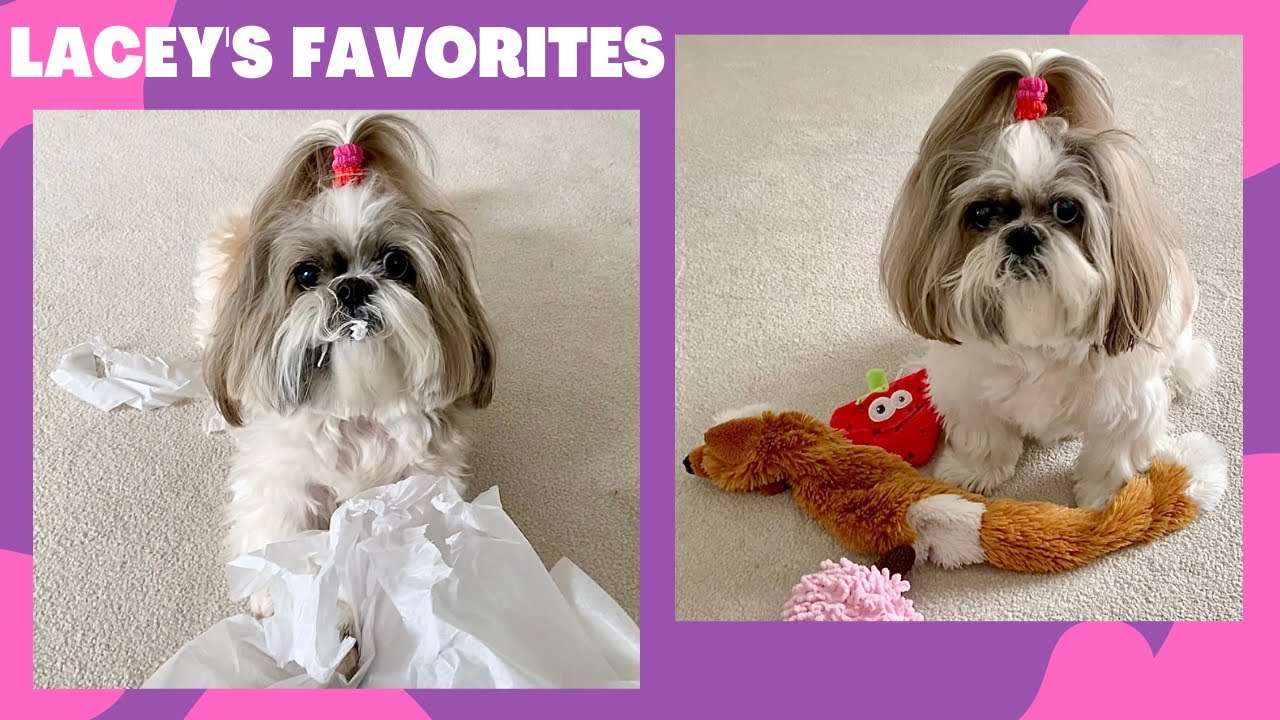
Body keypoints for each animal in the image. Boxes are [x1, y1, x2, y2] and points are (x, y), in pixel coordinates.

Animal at [190, 112, 494, 617]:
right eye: (307, 274)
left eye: (397, 263)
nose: (351, 286)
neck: (358, 411)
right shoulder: (281, 477)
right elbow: (283, 538)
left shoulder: (423, 482)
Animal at [880, 49, 1218, 504]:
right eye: (981, 213)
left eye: (1066, 209)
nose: (1022, 235)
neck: (1038, 333)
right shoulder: (966, 385)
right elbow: (984, 435)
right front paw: (974, 471)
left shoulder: (1126, 404)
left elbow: (1113, 454)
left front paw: (1109, 499)